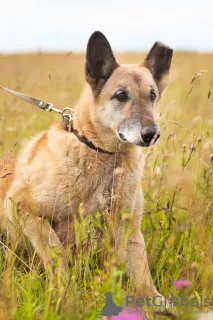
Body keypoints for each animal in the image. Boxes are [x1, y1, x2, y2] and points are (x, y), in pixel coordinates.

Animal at [0, 31, 172, 296]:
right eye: (121, 95)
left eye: (152, 96)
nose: (152, 134)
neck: (104, 155)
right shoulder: (22, 206)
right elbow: (56, 251)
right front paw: (66, 294)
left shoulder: (129, 232)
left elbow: (145, 281)